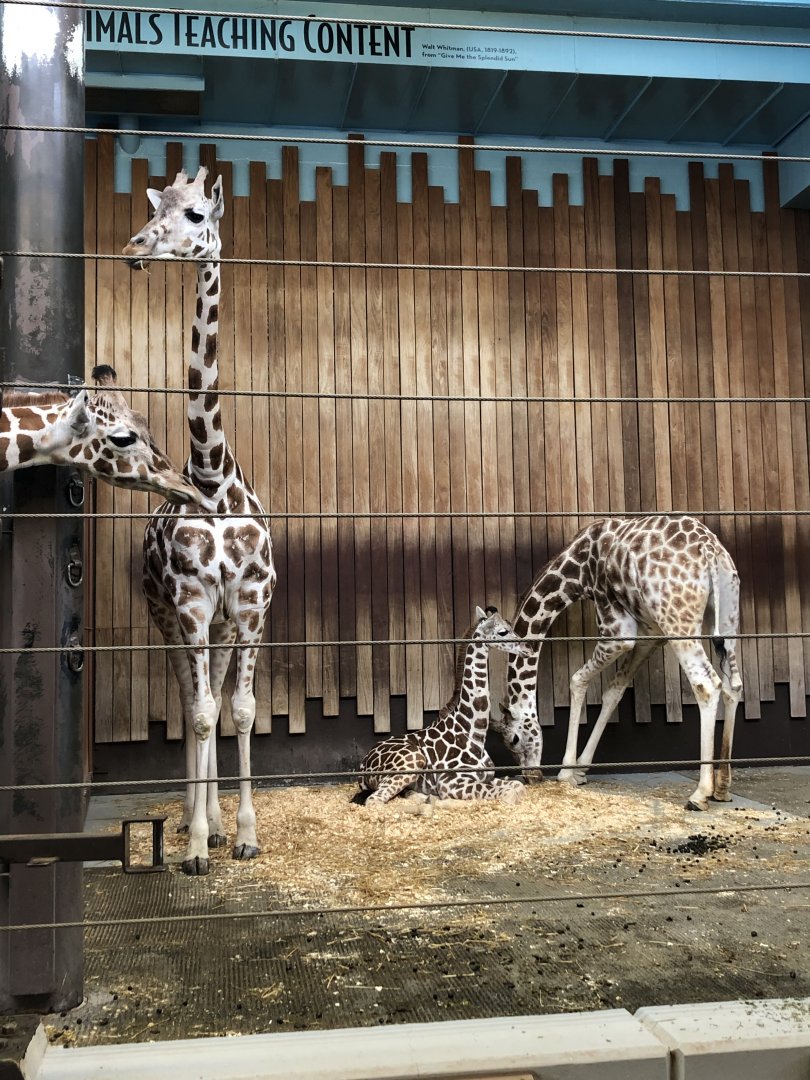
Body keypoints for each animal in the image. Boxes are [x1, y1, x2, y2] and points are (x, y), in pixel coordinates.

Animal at [353, 606, 533, 806]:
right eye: (503, 631)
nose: (529, 648)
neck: (474, 732)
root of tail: (362, 766)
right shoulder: (450, 781)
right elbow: (510, 794)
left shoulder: (487, 776)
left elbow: (518, 785)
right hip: (412, 761)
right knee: (374, 800)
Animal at [496, 515, 742, 811]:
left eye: (513, 739)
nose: (531, 776)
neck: (577, 568)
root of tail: (710, 551)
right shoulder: (651, 636)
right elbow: (614, 691)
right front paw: (581, 769)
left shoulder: (618, 632)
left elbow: (577, 679)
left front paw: (567, 771)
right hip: (727, 618)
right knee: (733, 686)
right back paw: (723, 786)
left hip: (679, 621)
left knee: (706, 685)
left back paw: (700, 793)